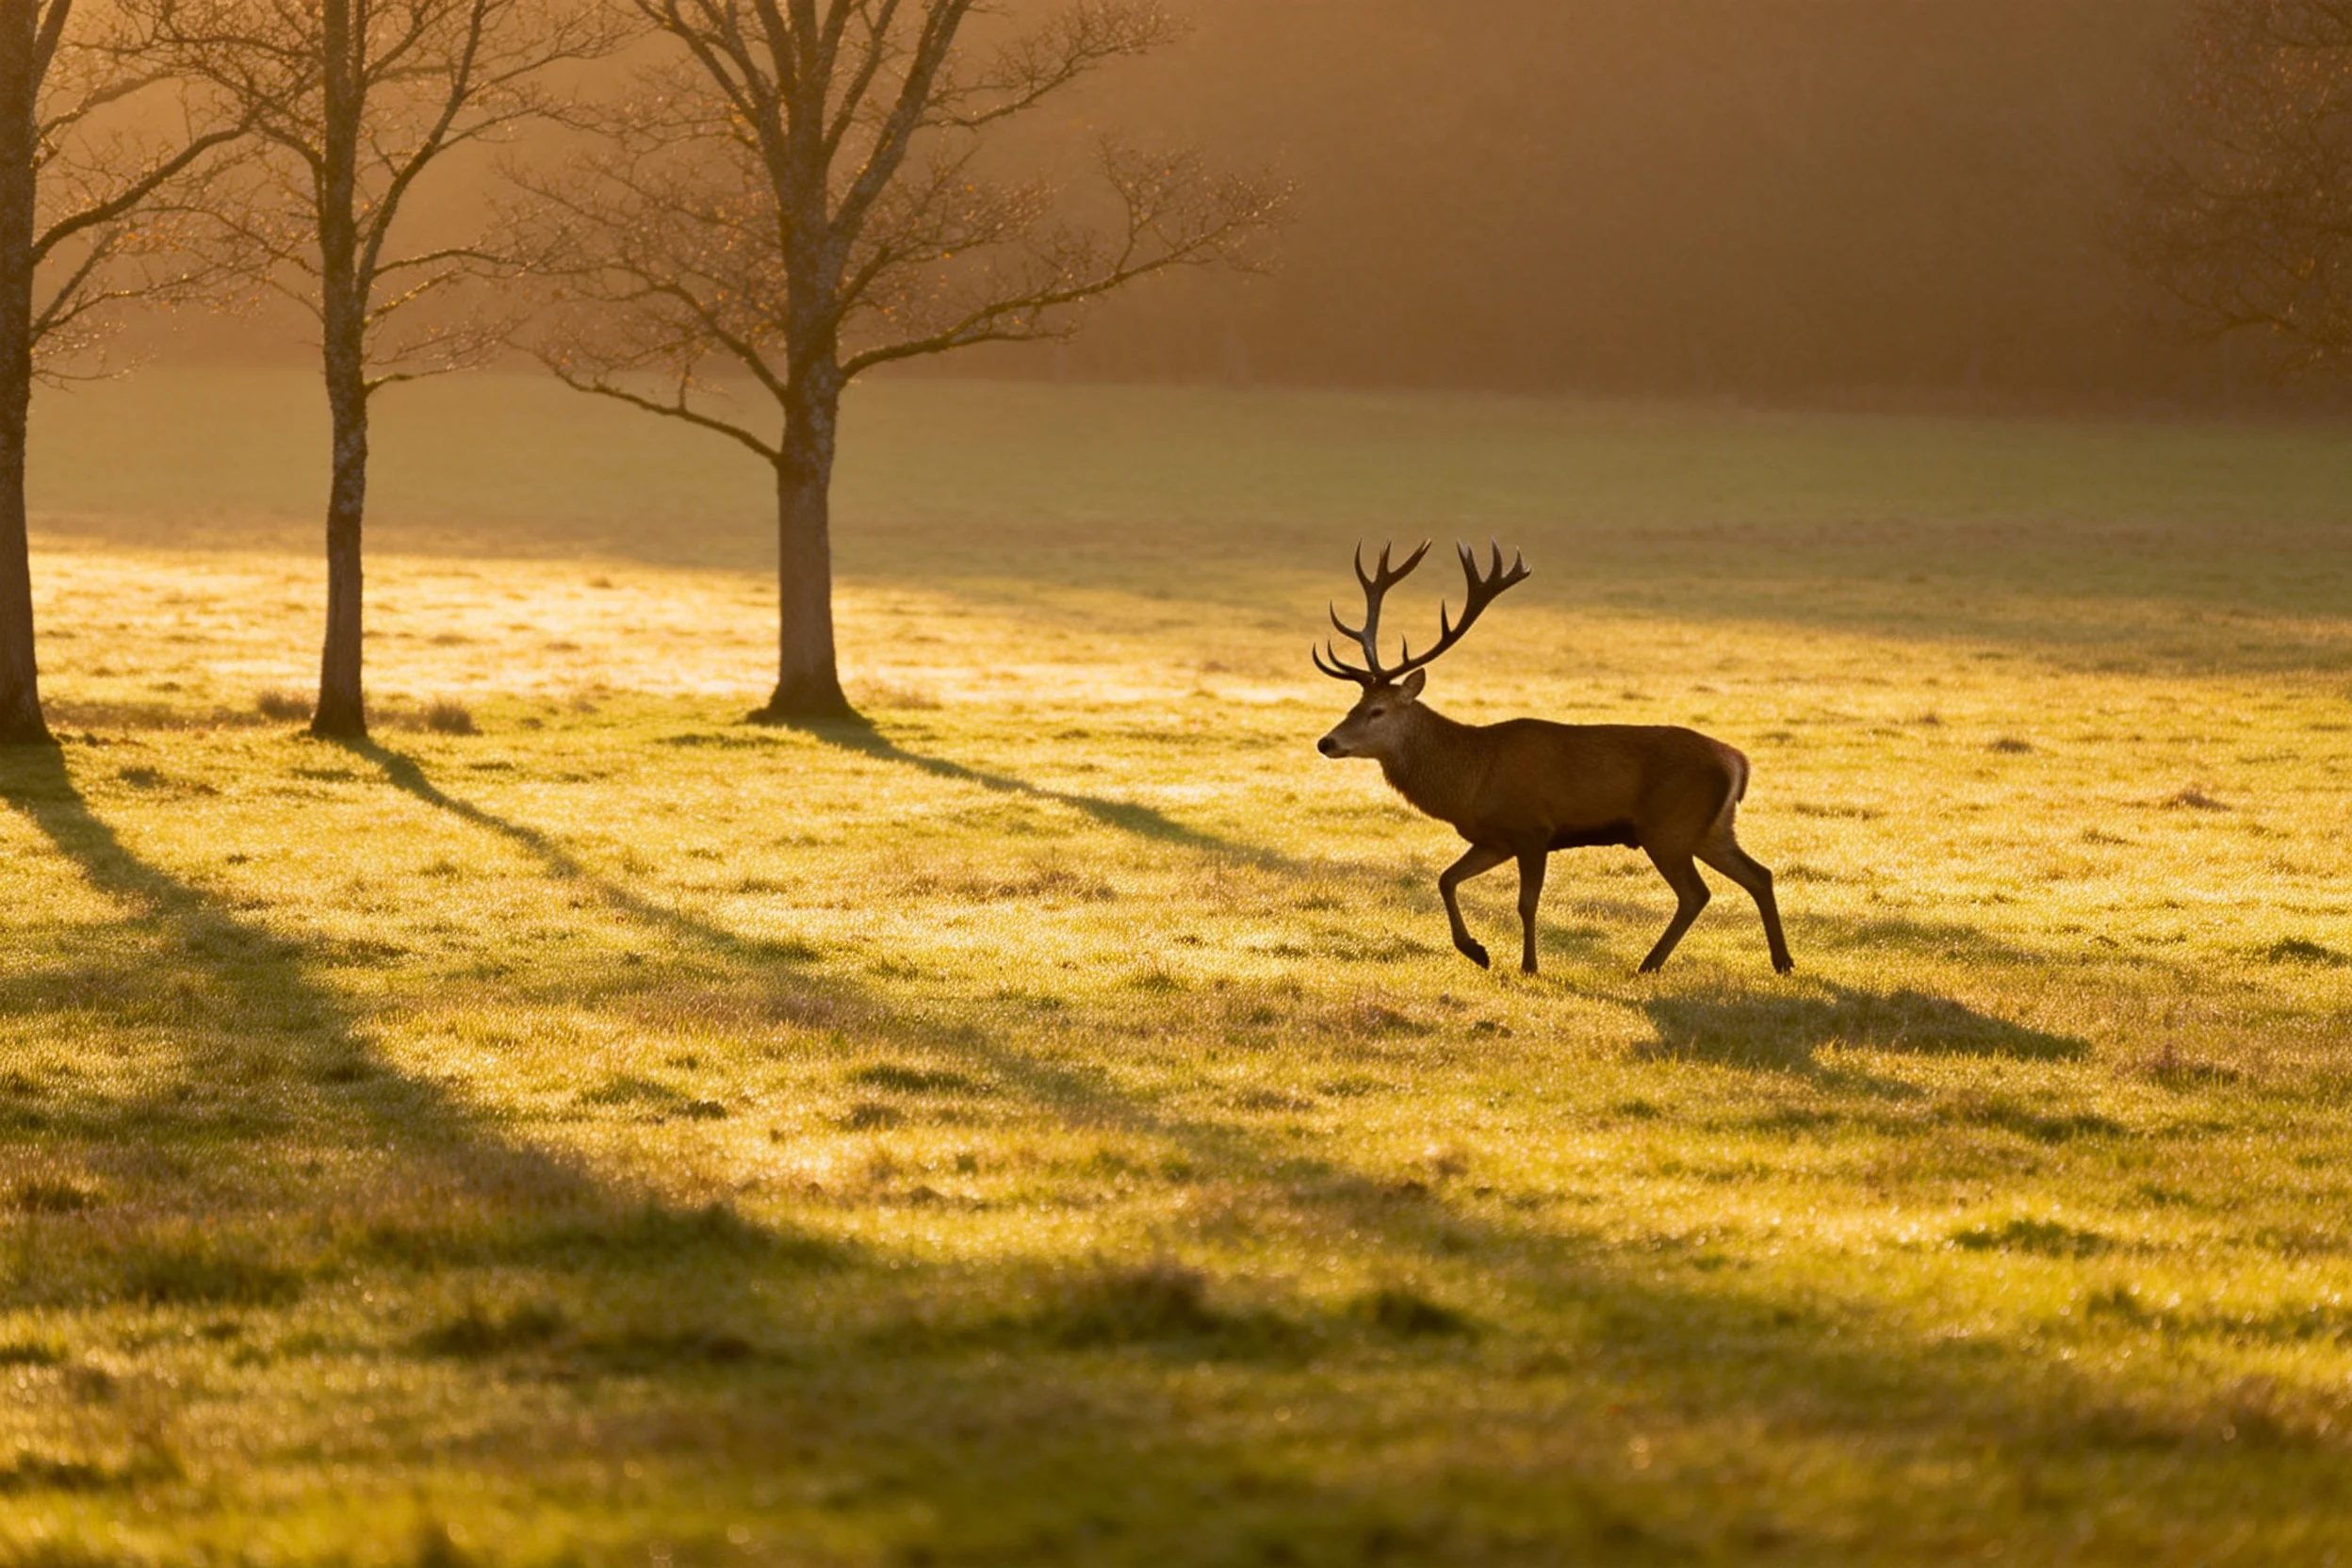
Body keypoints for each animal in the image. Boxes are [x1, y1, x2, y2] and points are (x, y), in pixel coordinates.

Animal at [1313, 540, 1794, 977]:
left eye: (1377, 711)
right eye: (1354, 704)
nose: (1326, 742)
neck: (1471, 779)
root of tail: (1738, 762)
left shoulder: (1532, 829)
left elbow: (1526, 903)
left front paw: (1528, 965)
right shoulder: (1493, 838)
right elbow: (1446, 878)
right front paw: (1476, 951)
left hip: (1669, 827)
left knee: (1697, 893)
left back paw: (1650, 963)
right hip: (1712, 828)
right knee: (1759, 874)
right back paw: (1781, 961)